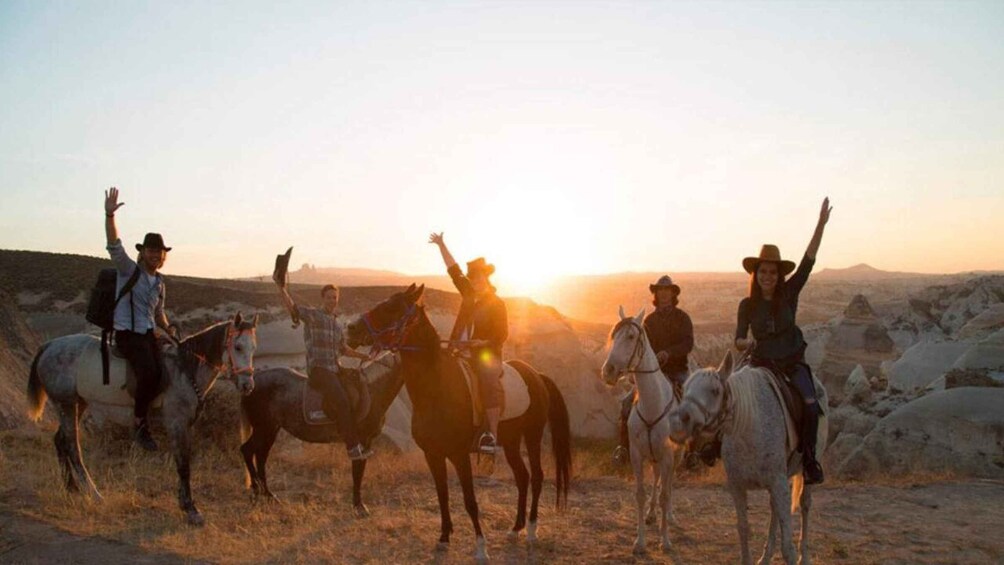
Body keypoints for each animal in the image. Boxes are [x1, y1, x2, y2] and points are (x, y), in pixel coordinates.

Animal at [27, 313, 257, 525]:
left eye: (253, 348)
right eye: (238, 347)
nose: (247, 385)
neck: (185, 369)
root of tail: (49, 346)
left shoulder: (185, 425)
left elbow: (183, 462)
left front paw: (184, 503)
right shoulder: (177, 423)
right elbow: (183, 464)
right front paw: (191, 509)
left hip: (77, 404)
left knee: (60, 440)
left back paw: (71, 488)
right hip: (65, 404)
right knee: (73, 447)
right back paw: (94, 494)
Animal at [236, 355, 401, 517]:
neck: (372, 388)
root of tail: (251, 385)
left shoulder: (367, 442)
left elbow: (359, 470)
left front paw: (358, 505)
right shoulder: (360, 440)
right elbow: (358, 471)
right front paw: (359, 507)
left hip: (270, 430)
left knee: (260, 456)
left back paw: (267, 495)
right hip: (263, 428)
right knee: (248, 451)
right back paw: (258, 490)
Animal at [345, 285, 570, 561]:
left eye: (392, 308)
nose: (351, 328)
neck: (438, 387)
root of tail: (536, 375)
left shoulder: (460, 455)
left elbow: (469, 500)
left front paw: (481, 548)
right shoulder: (433, 454)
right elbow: (442, 494)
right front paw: (444, 538)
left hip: (533, 435)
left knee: (536, 476)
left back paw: (531, 531)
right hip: (511, 441)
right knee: (522, 477)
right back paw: (515, 528)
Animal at [598, 307, 686, 553]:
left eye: (630, 337)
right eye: (613, 336)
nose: (608, 371)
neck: (652, 403)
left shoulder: (667, 455)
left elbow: (666, 493)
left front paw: (665, 541)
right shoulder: (637, 455)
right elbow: (640, 494)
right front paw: (640, 541)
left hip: (675, 457)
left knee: (669, 483)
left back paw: (671, 516)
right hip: (653, 458)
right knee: (656, 479)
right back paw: (651, 514)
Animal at [670, 353, 827, 565]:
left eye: (715, 391)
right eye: (685, 387)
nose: (679, 422)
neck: (749, 426)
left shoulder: (778, 483)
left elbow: (788, 547)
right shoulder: (738, 486)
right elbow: (743, 528)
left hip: (803, 474)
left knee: (804, 505)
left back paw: (805, 556)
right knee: (774, 510)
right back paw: (766, 556)